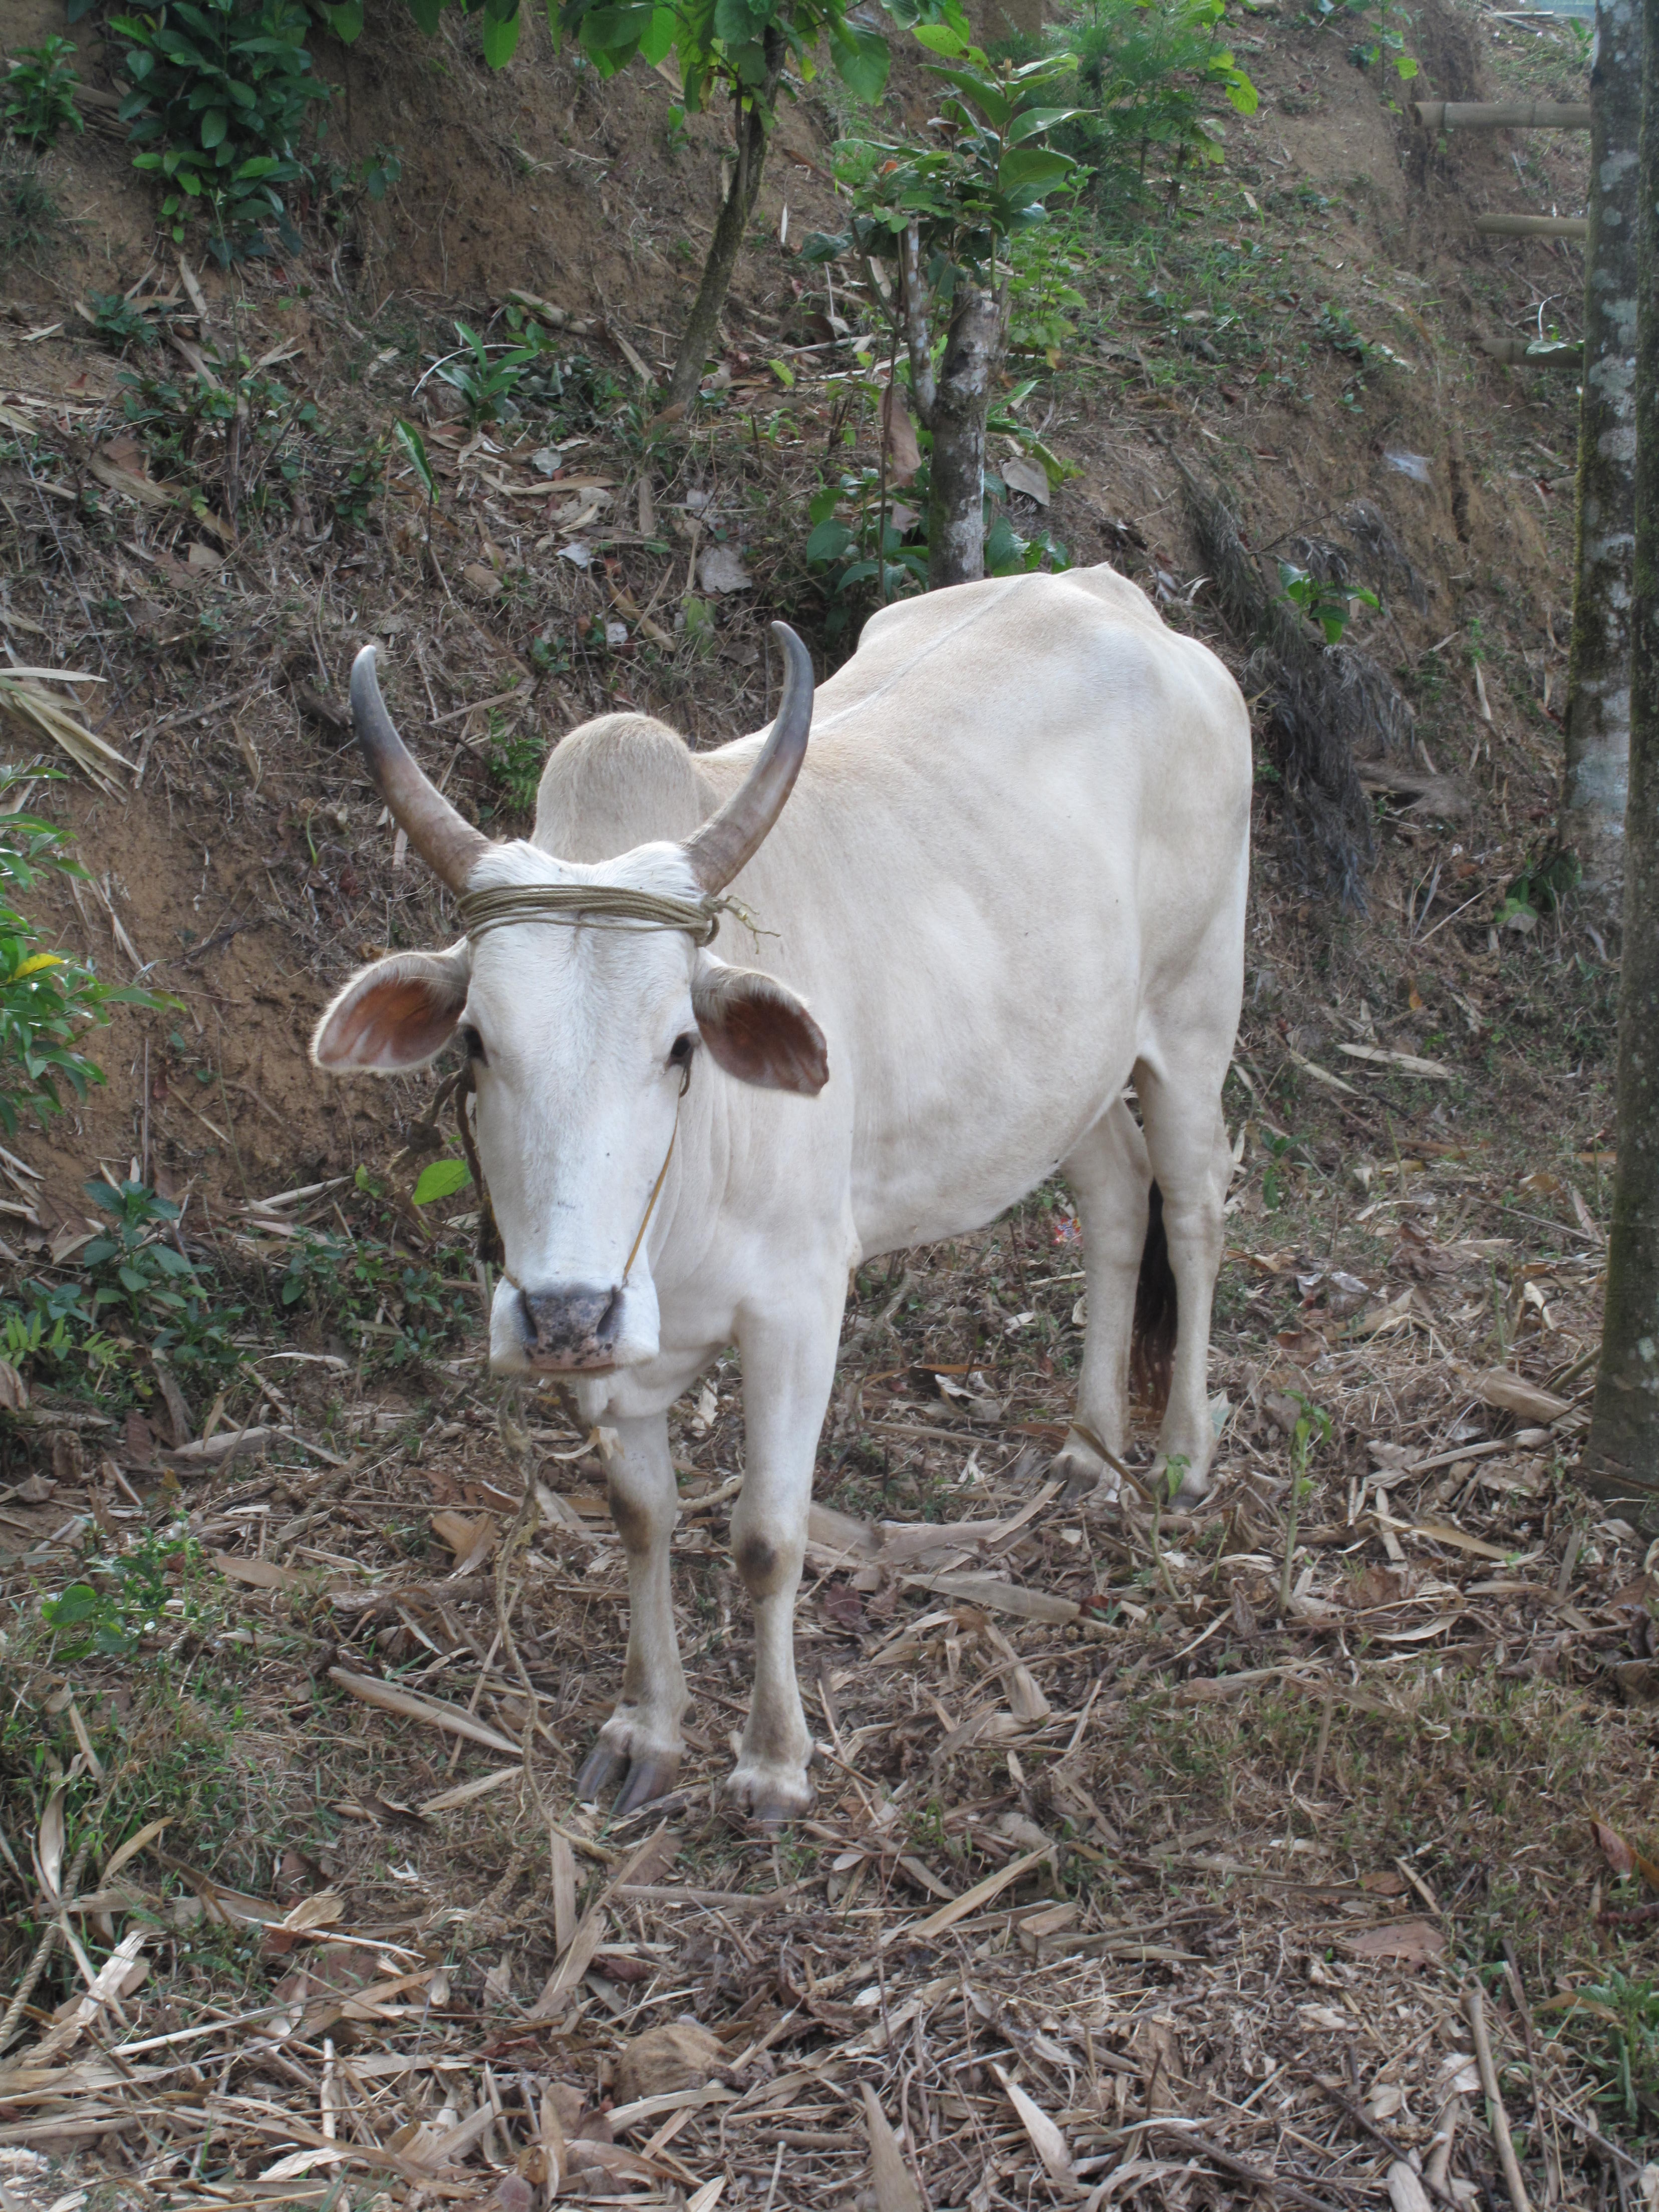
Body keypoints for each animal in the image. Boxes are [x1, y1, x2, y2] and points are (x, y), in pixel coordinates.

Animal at [312, 564, 1251, 1825]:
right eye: (473, 1041)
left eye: (679, 1044)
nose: (562, 1314)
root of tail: (1116, 596)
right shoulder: (623, 1352)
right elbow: (643, 1517)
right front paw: (646, 1727)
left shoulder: (800, 1308)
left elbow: (768, 1537)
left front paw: (772, 1760)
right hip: (1072, 1066)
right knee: (1115, 1196)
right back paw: (1091, 1450)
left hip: (1196, 1014)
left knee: (1192, 1210)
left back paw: (1183, 1454)